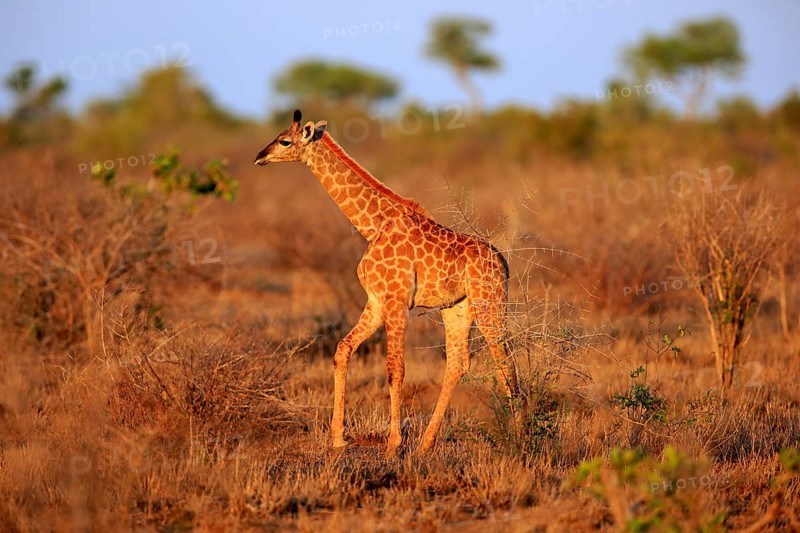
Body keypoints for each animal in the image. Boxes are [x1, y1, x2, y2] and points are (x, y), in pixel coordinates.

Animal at [254, 110, 519, 456]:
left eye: (285, 140)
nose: (259, 156)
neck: (373, 224)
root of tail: (502, 262)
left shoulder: (396, 300)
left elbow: (395, 369)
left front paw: (393, 445)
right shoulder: (377, 301)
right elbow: (343, 349)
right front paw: (338, 439)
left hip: (489, 302)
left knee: (504, 360)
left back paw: (521, 438)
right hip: (457, 309)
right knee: (458, 364)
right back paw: (425, 445)